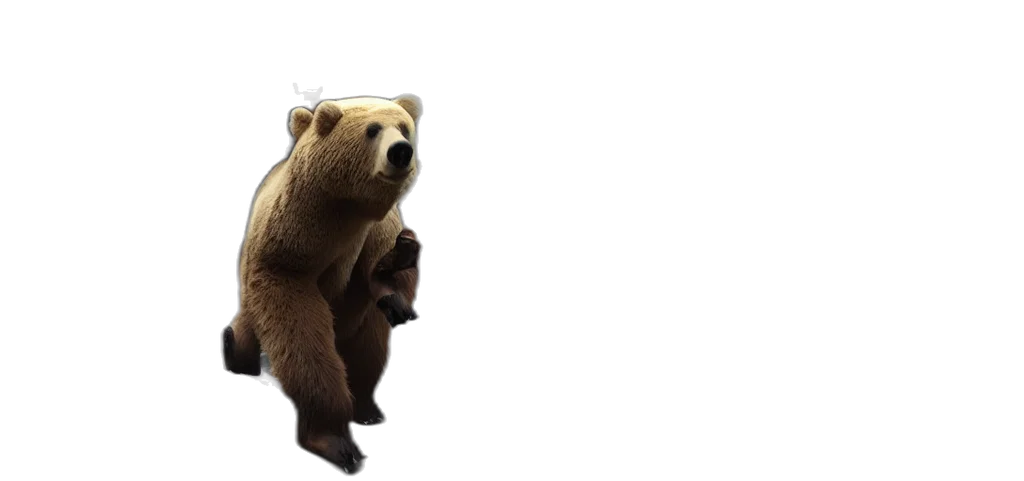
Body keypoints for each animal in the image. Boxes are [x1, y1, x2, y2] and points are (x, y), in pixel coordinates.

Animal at [221, 95, 422, 473]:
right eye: (373, 130)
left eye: (405, 128)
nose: (401, 151)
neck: (346, 210)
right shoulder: (294, 236)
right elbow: (300, 329)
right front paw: (338, 442)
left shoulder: (374, 232)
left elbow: (384, 274)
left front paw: (399, 287)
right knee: (250, 322)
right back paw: (232, 348)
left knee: (370, 340)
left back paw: (368, 408)